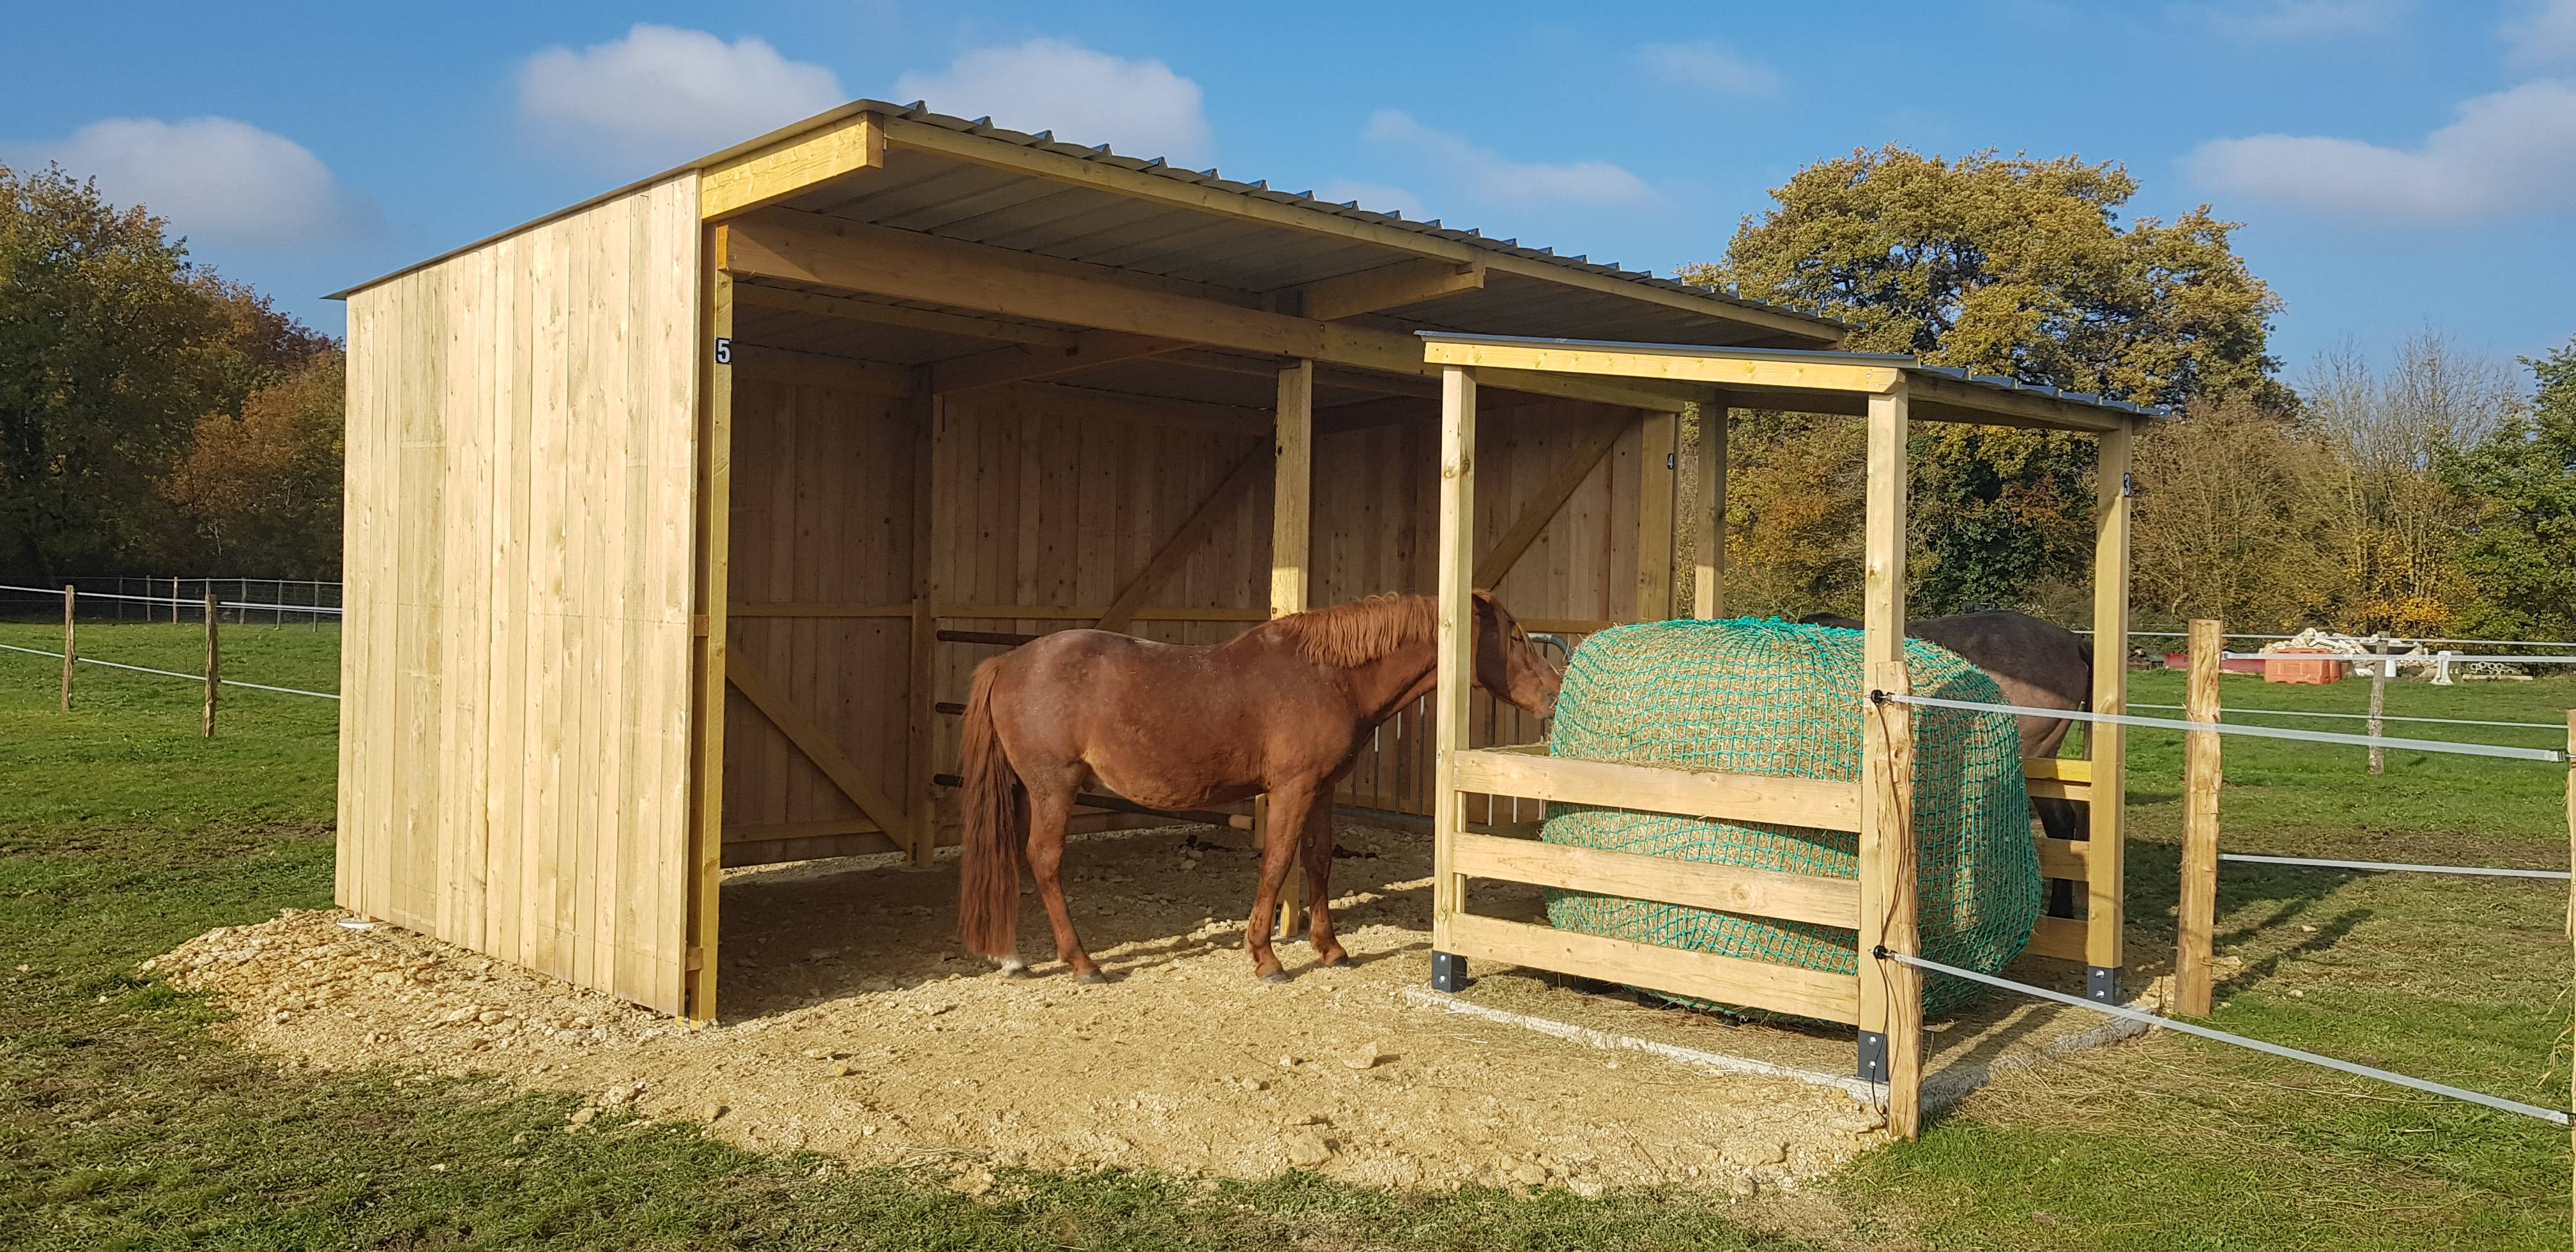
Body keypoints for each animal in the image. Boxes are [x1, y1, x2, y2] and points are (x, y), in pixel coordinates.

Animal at [956, 591, 1563, 984]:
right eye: (1514, 636)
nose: (1554, 693)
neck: (1329, 676)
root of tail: (1006, 661)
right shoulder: (1293, 788)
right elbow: (1277, 862)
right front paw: (1266, 957)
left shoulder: (1322, 789)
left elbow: (1318, 861)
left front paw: (1330, 948)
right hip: (1053, 789)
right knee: (1044, 861)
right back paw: (1083, 963)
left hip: (1024, 792)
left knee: (1011, 857)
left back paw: (1012, 958)